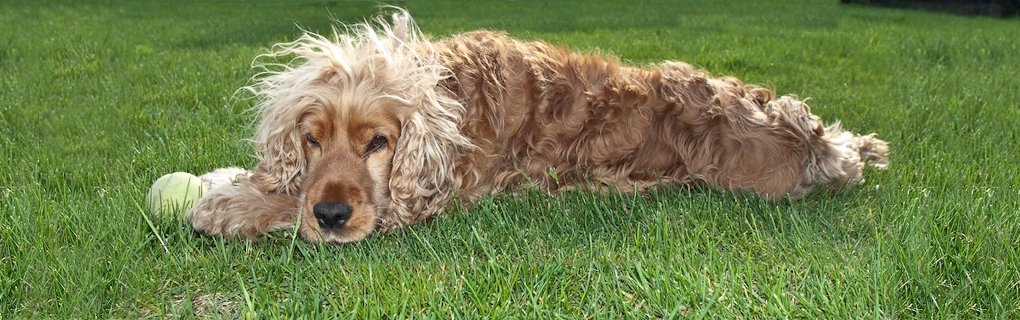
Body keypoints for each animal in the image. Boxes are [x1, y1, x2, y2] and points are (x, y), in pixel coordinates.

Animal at [187, 11, 889, 243]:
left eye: (379, 144)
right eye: (312, 138)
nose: (332, 216)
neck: (444, 95)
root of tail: (810, 143)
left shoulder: (429, 197)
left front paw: (232, 207)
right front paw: (232, 182)